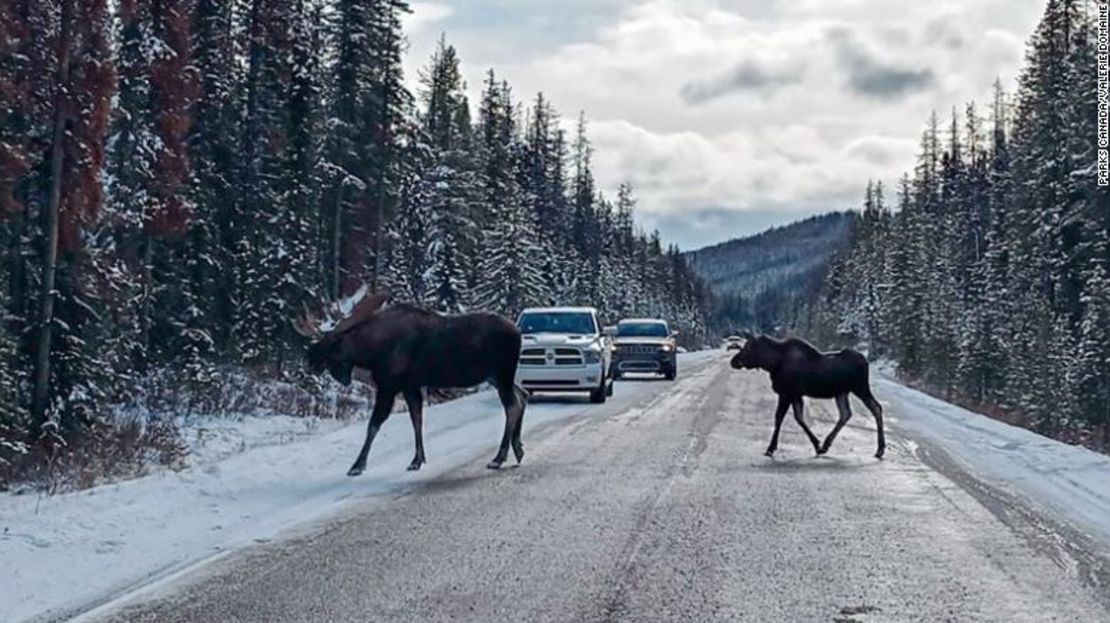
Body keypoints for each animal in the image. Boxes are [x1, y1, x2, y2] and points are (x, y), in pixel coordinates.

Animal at [295, 288, 528, 473]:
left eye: (332, 341)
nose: (307, 359)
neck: (370, 353)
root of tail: (518, 331)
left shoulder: (388, 386)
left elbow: (374, 424)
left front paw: (357, 465)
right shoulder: (410, 386)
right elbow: (416, 419)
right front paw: (417, 460)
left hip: (502, 373)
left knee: (512, 405)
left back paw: (499, 457)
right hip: (496, 377)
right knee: (523, 395)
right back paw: (517, 448)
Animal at [728, 333, 883, 459]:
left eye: (749, 347)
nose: (733, 361)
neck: (773, 364)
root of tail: (865, 361)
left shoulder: (786, 393)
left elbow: (779, 418)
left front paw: (770, 448)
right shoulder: (795, 394)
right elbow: (799, 418)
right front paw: (817, 445)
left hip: (860, 387)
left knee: (876, 407)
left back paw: (880, 450)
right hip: (841, 392)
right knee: (846, 413)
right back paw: (826, 445)